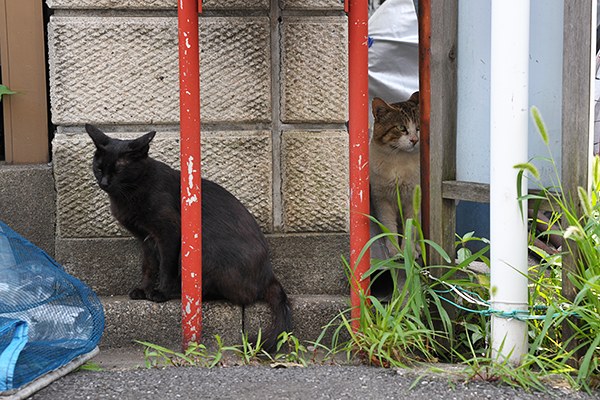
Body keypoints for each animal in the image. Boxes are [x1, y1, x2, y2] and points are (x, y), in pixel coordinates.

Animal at [85, 123, 292, 348]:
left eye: (119, 170)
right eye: (99, 168)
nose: (104, 182)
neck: (131, 192)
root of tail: (269, 276)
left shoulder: (169, 233)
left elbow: (165, 267)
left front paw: (160, 293)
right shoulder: (146, 239)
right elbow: (148, 266)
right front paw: (142, 289)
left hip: (204, 249)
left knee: (233, 295)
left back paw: (180, 292)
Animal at [368, 92, 420, 256]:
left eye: (418, 128)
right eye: (401, 128)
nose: (415, 140)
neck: (398, 160)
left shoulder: (412, 199)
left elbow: (411, 229)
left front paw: (408, 252)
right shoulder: (382, 199)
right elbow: (389, 226)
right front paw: (395, 251)